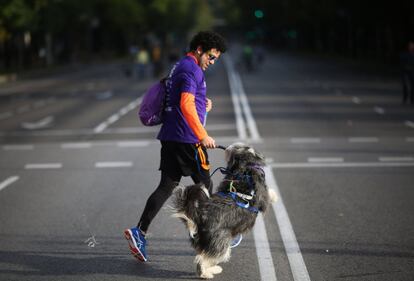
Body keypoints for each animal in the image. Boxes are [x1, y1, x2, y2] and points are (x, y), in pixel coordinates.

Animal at [173, 142, 276, 278]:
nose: (232, 145)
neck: (243, 170)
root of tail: (200, 215)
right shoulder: (262, 197)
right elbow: (268, 196)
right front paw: (275, 196)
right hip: (221, 243)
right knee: (203, 259)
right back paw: (209, 272)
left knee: (203, 256)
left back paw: (212, 270)